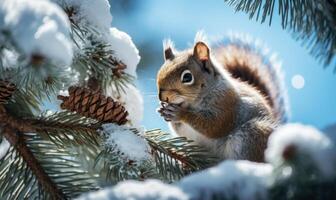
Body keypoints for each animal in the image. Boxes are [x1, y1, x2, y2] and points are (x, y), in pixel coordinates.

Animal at [156, 31, 288, 162]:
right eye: (159, 72)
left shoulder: (227, 104)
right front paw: (163, 110)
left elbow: (215, 126)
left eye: (187, 77)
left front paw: (180, 113)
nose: (162, 97)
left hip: (254, 134)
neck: (193, 103)